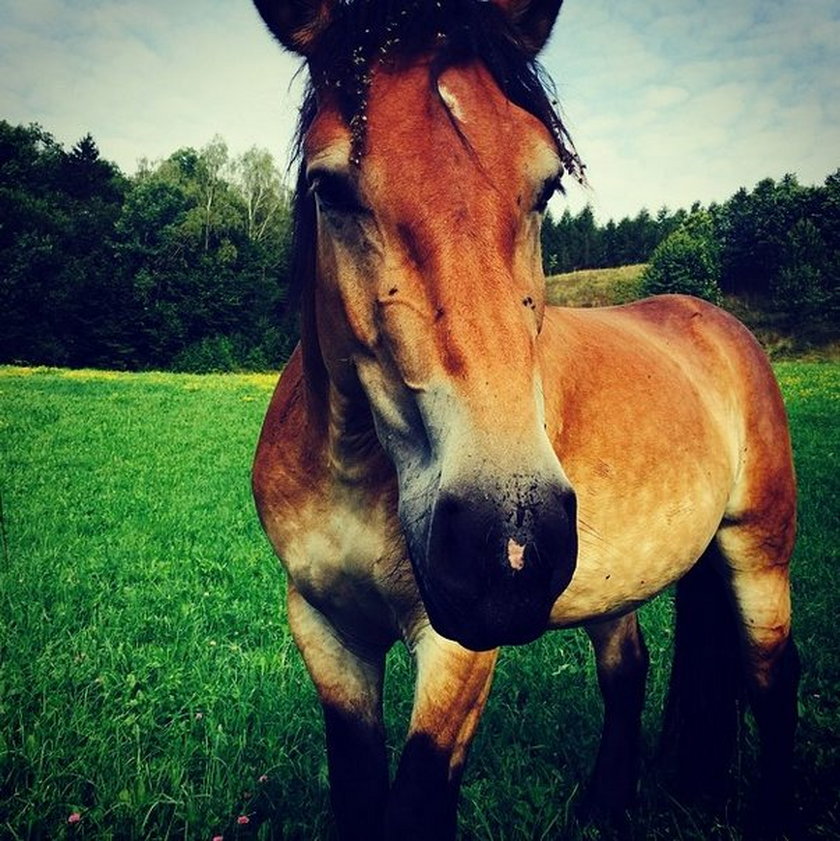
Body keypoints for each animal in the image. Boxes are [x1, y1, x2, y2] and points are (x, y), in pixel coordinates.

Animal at [251, 3, 800, 836]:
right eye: (329, 187)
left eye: (545, 185)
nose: (507, 545)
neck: (351, 466)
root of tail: (719, 324)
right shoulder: (326, 630)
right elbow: (356, 793)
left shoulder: (454, 651)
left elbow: (414, 803)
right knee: (629, 670)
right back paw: (607, 805)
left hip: (758, 555)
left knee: (772, 678)